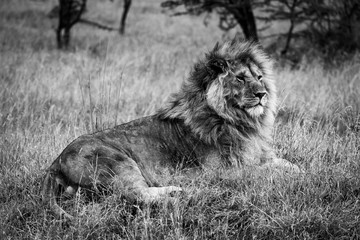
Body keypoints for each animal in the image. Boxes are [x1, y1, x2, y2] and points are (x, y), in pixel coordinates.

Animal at [41, 38, 300, 220]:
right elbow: (264, 172)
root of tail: (56, 162)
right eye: (240, 78)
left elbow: (287, 164)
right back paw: (180, 194)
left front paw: (297, 171)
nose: (262, 94)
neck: (241, 122)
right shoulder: (224, 172)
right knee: (135, 195)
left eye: (260, 77)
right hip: (116, 161)